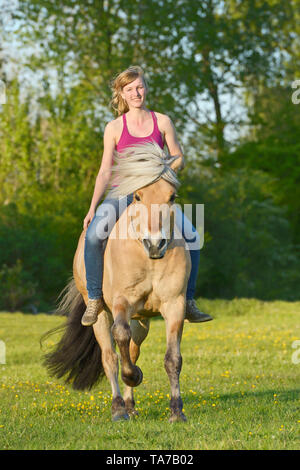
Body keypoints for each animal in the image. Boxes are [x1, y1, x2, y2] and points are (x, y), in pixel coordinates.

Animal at [43, 142, 191, 422]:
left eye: (172, 197)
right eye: (138, 196)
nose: (155, 244)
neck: (147, 258)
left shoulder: (174, 305)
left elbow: (173, 359)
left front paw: (177, 411)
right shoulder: (122, 304)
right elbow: (119, 340)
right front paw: (134, 376)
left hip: (142, 320)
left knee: (132, 350)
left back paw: (131, 405)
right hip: (101, 315)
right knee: (110, 356)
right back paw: (119, 408)